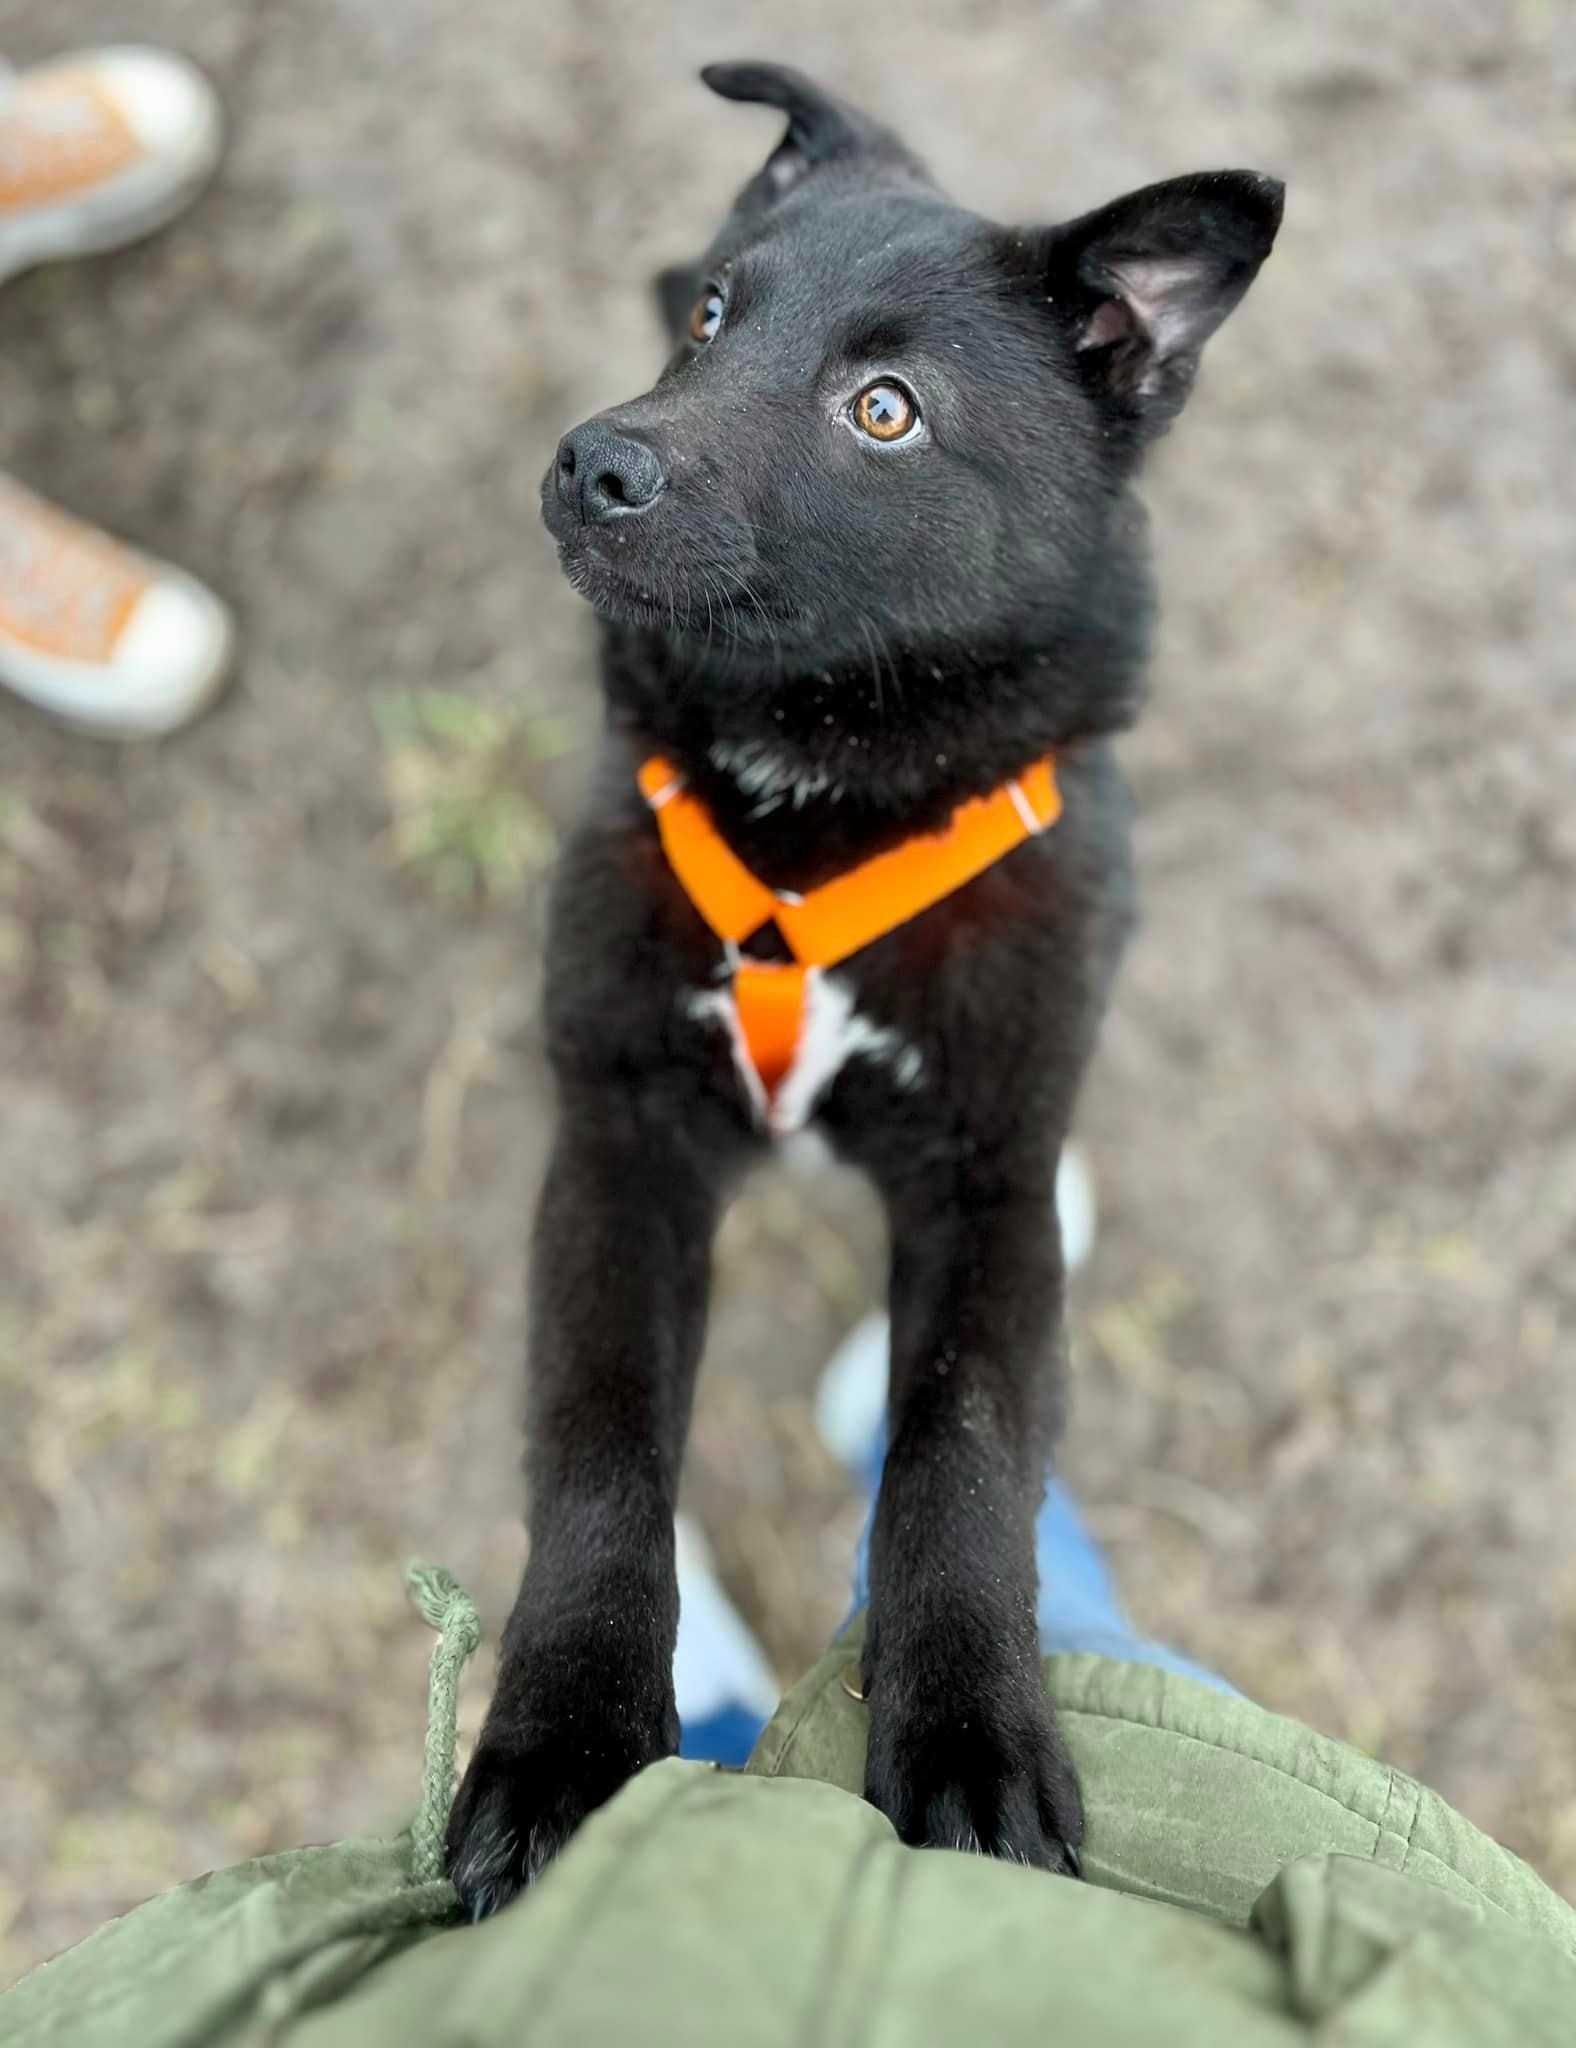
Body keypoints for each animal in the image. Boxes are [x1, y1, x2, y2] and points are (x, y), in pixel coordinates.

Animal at [448, 68, 1285, 1916]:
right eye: (710, 315)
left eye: (884, 410)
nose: (595, 459)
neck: (823, 799)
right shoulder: (621, 1135)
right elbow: (603, 1438)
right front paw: (564, 1739)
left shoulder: (990, 1178)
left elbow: (959, 1450)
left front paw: (972, 1735)